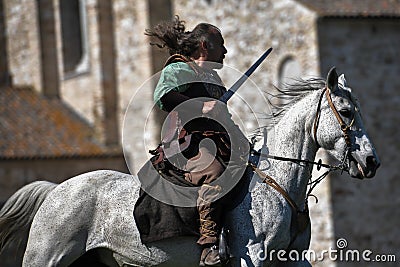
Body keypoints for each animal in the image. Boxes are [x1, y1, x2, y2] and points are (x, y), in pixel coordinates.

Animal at [0, 68, 380, 266]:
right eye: (346, 112)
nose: (371, 162)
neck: (277, 183)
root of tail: (57, 191)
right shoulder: (252, 257)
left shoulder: (292, 259)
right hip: (47, 257)